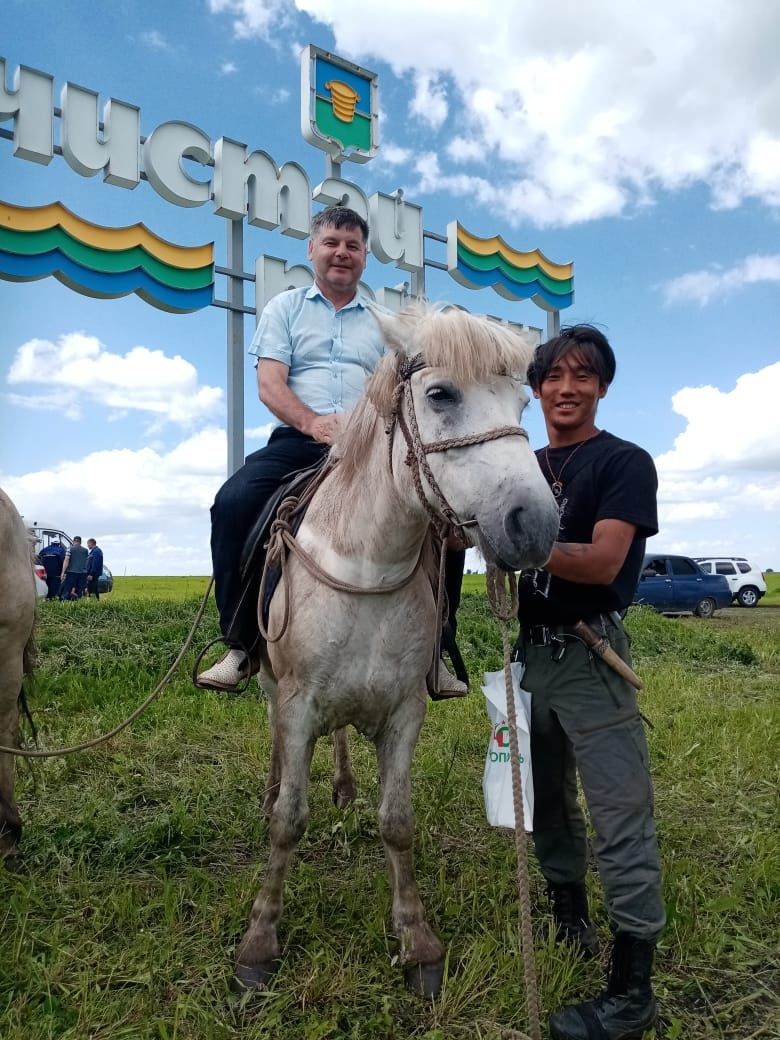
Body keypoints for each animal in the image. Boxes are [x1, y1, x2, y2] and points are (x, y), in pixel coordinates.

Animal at [238, 303, 561, 994]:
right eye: (441, 395)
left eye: (524, 402)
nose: (537, 525)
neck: (367, 566)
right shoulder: (299, 704)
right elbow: (288, 822)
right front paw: (260, 941)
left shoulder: (406, 710)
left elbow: (397, 821)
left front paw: (416, 940)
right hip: (271, 686)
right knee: (277, 744)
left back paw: (342, 784)